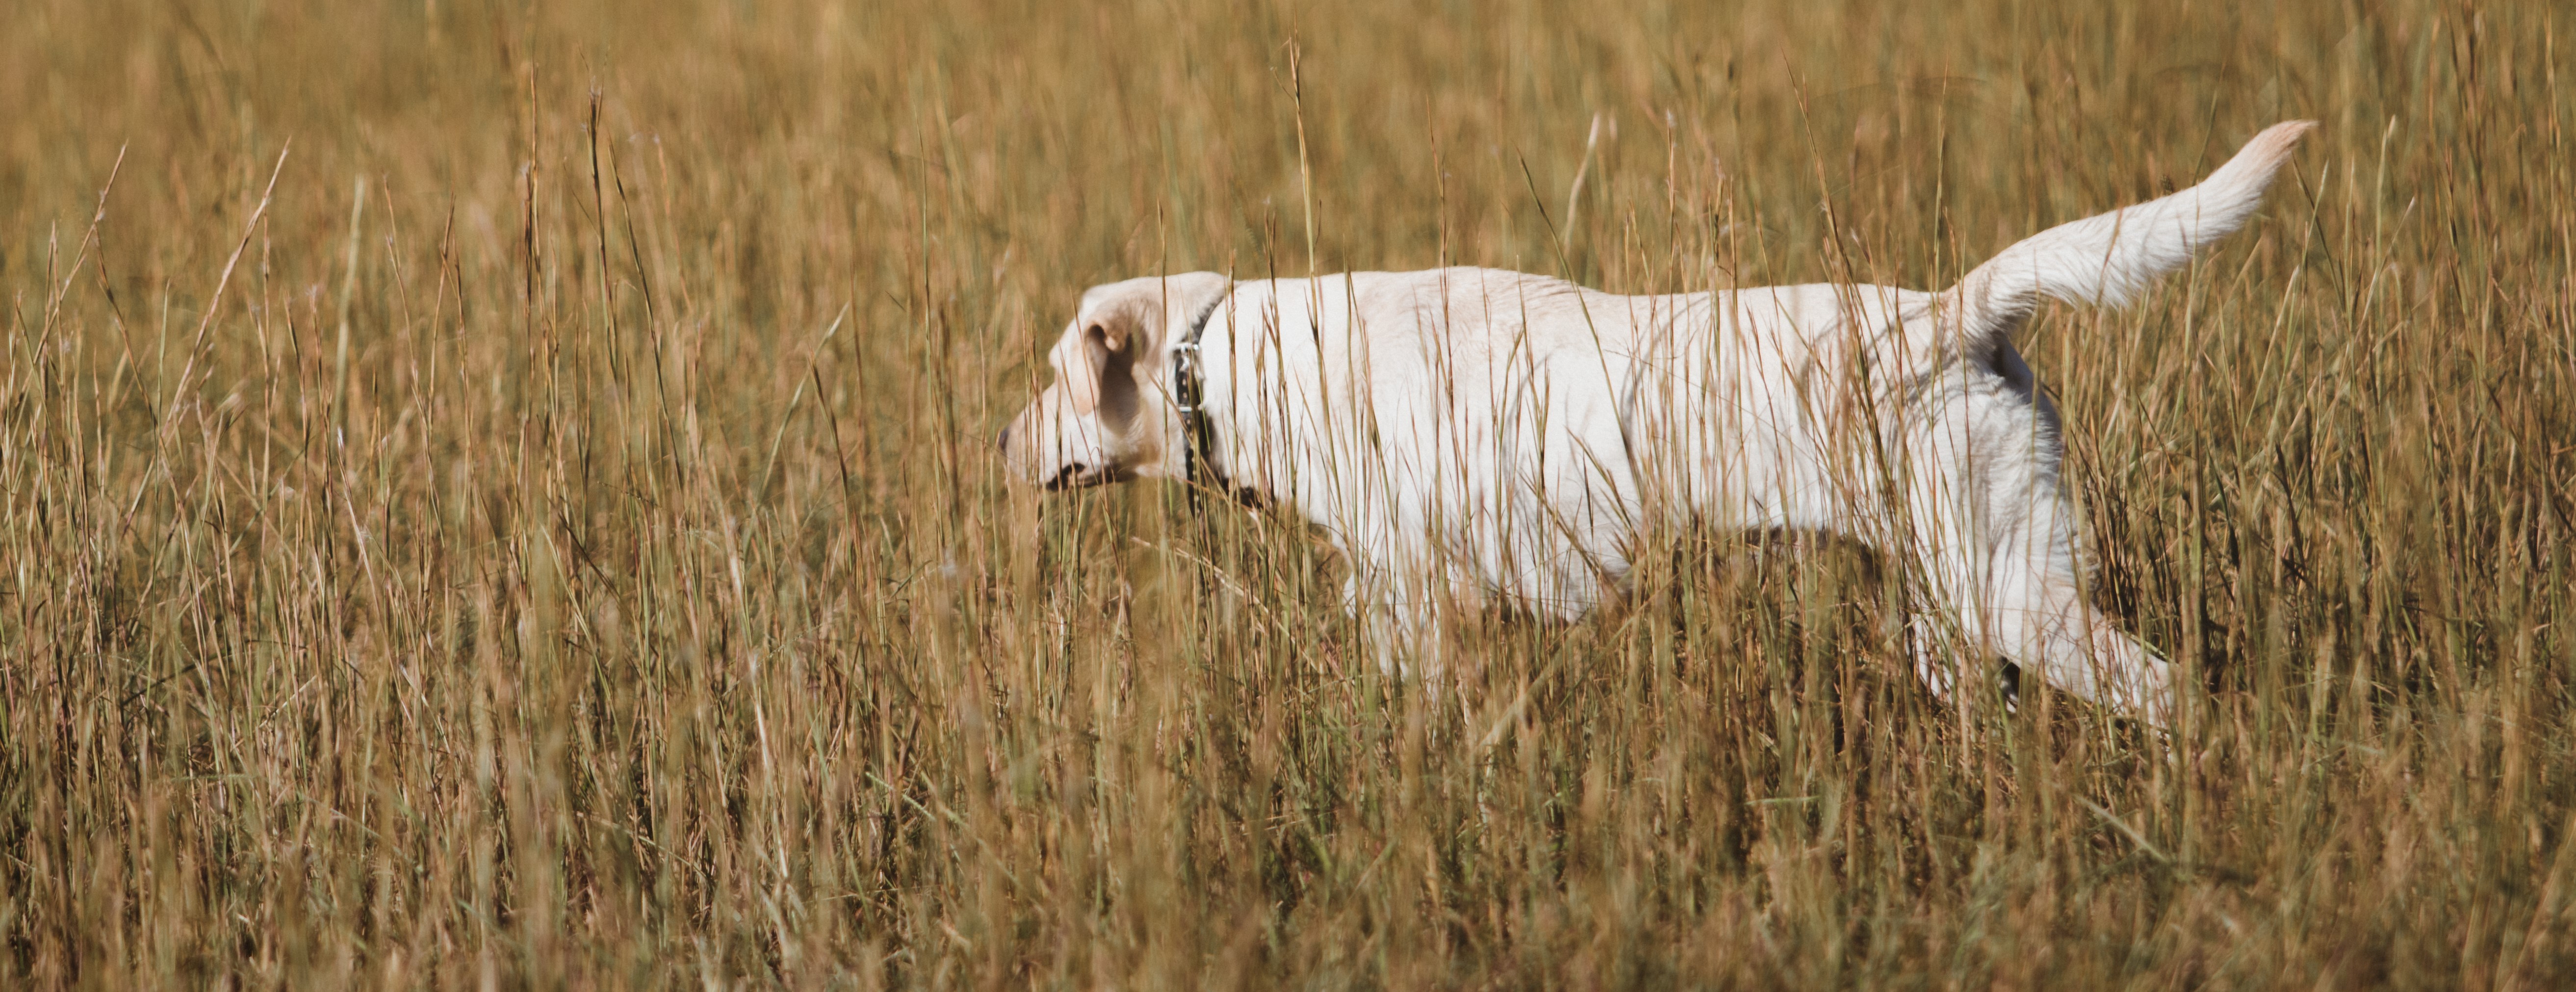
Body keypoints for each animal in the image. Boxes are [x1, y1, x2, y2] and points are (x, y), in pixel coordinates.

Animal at [999, 122, 2318, 721]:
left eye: (1054, 376)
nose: (996, 445)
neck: (1233, 363)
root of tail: (1950, 316)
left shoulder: (1410, 600)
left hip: (2017, 598)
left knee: (2172, 695)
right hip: (1948, 617)